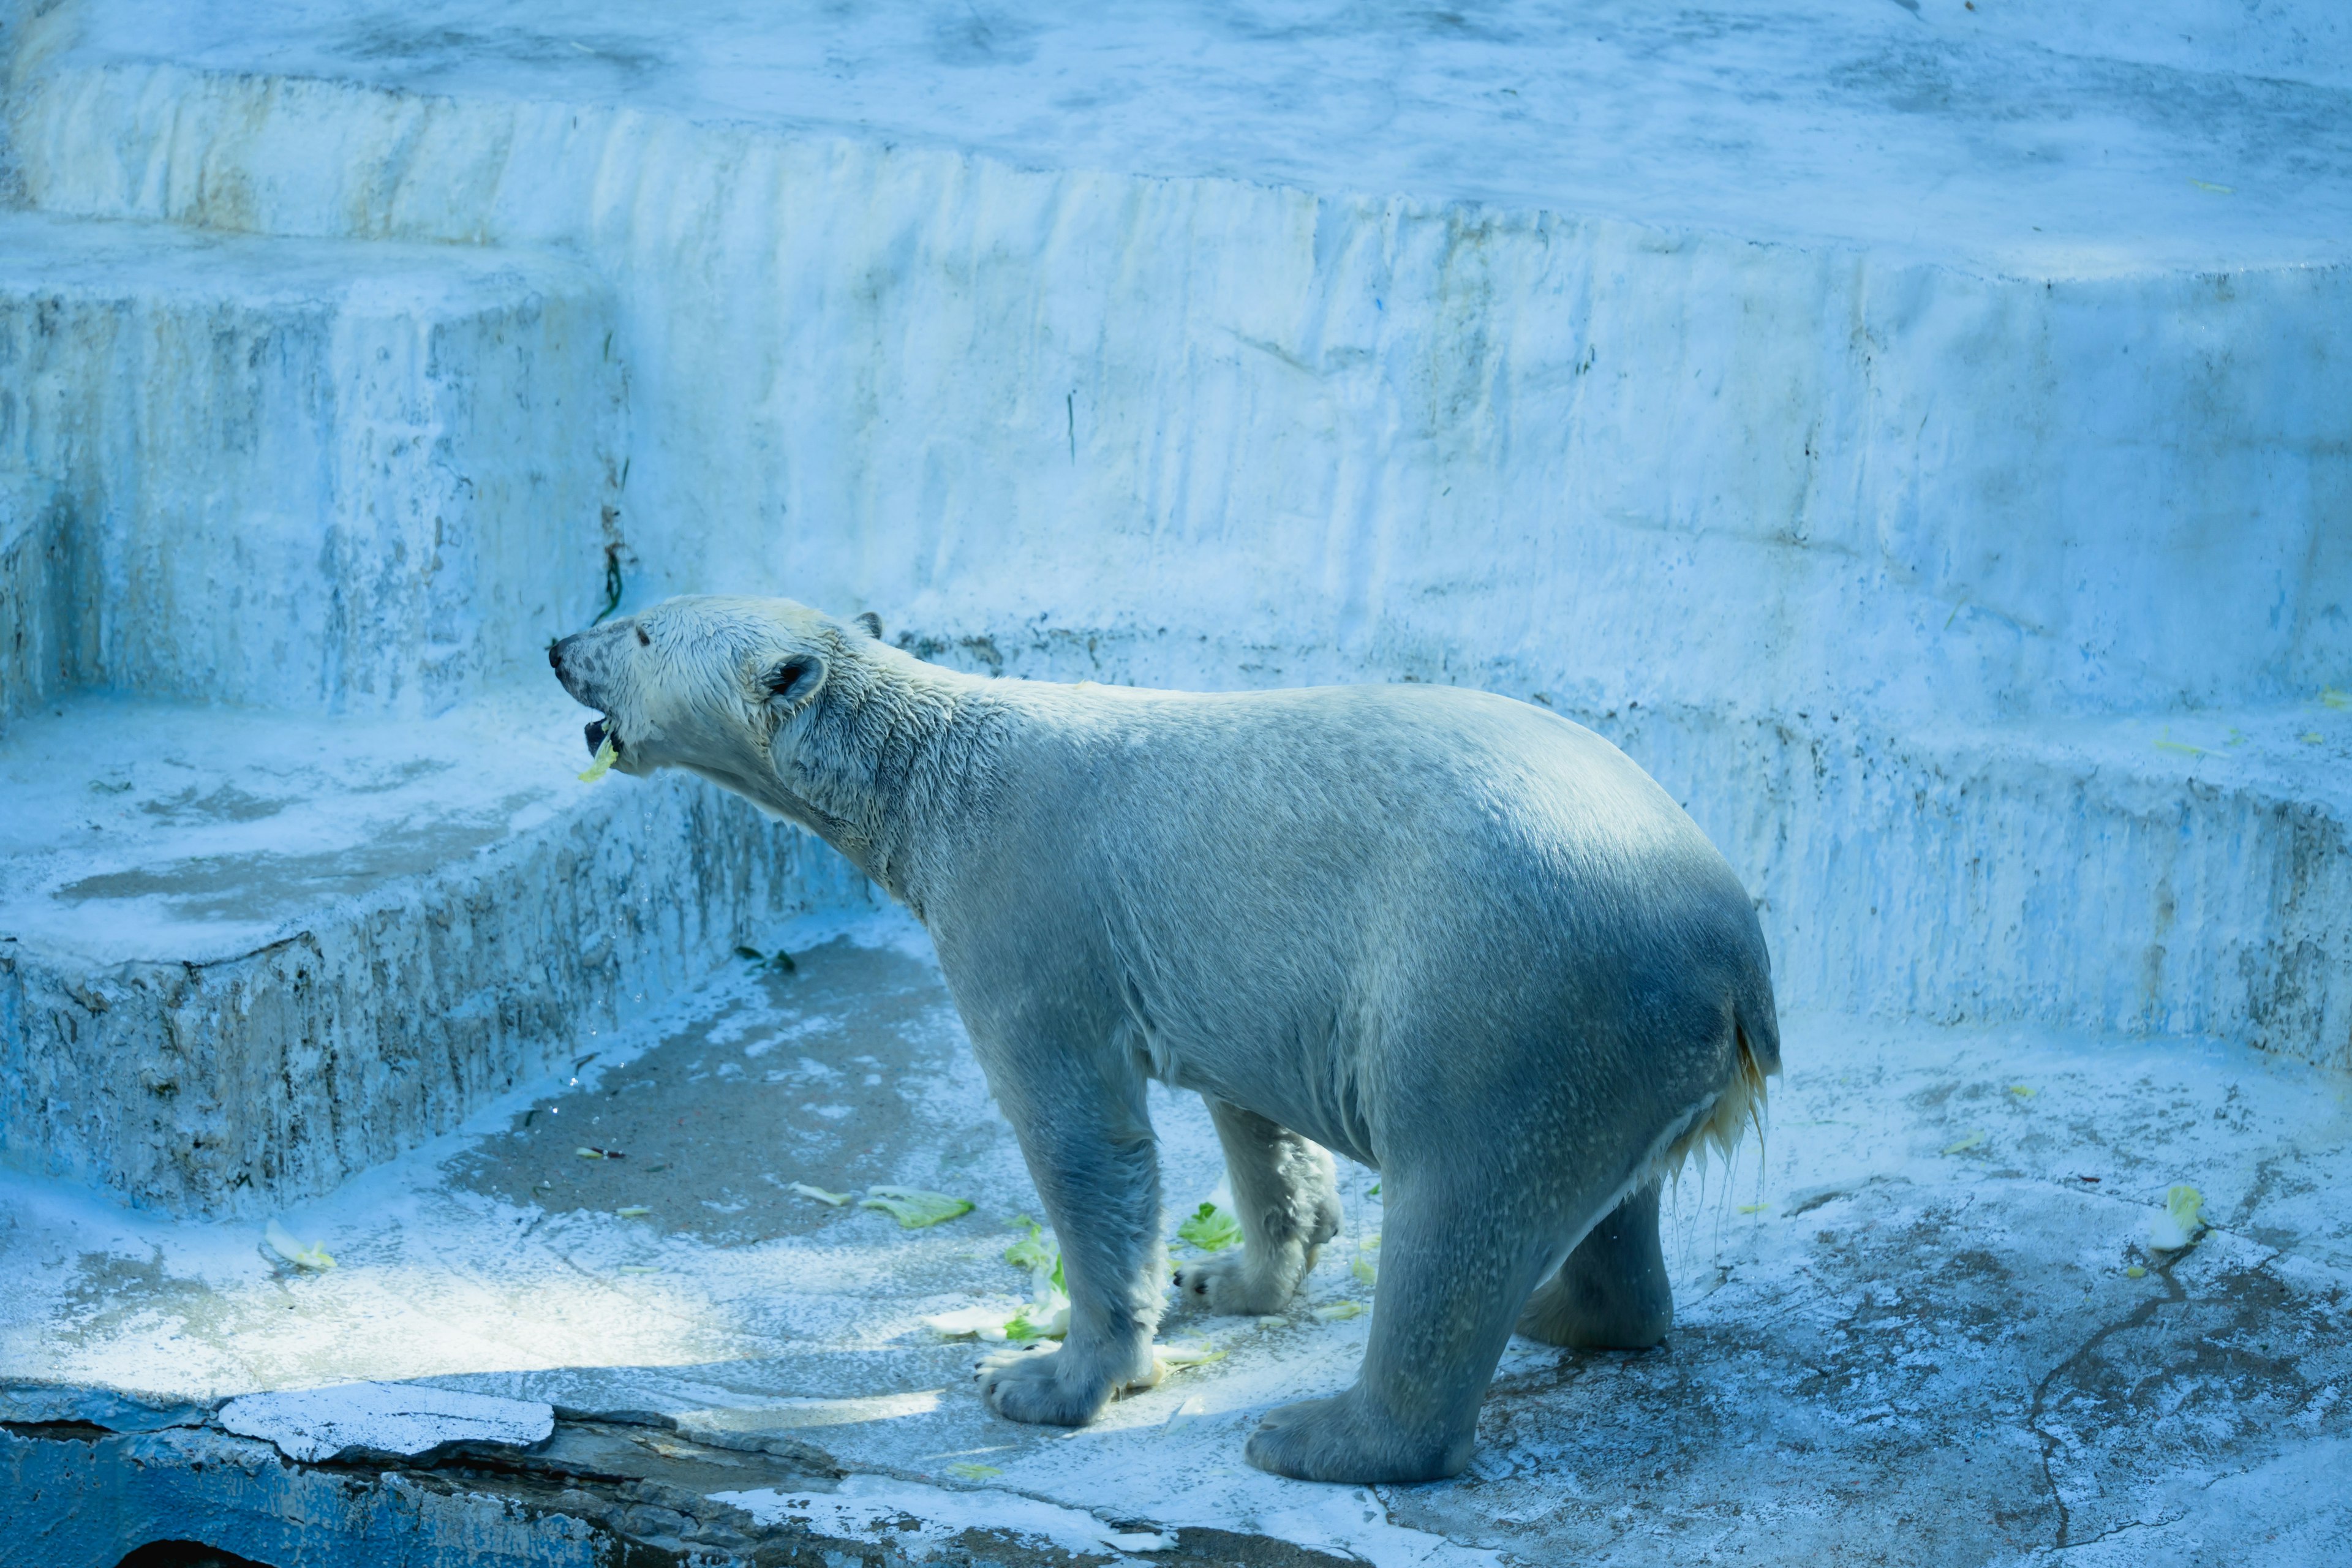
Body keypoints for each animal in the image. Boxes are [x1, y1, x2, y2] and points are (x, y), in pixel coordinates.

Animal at [550, 597, 1768, 1485]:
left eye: (644, 629)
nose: (559, 646)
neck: (933, 779)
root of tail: (1736, 967)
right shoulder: (1248, 974)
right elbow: (1257, 1120)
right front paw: (1227, 1274)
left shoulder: (1024, 910)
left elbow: (1082, 1138)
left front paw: (1048, 1379)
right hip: (1602, 1041)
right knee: (1601, 1206)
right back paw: (1569, 1307)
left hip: (1502, 999)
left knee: (1458, 1202)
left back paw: (1318, 1434)